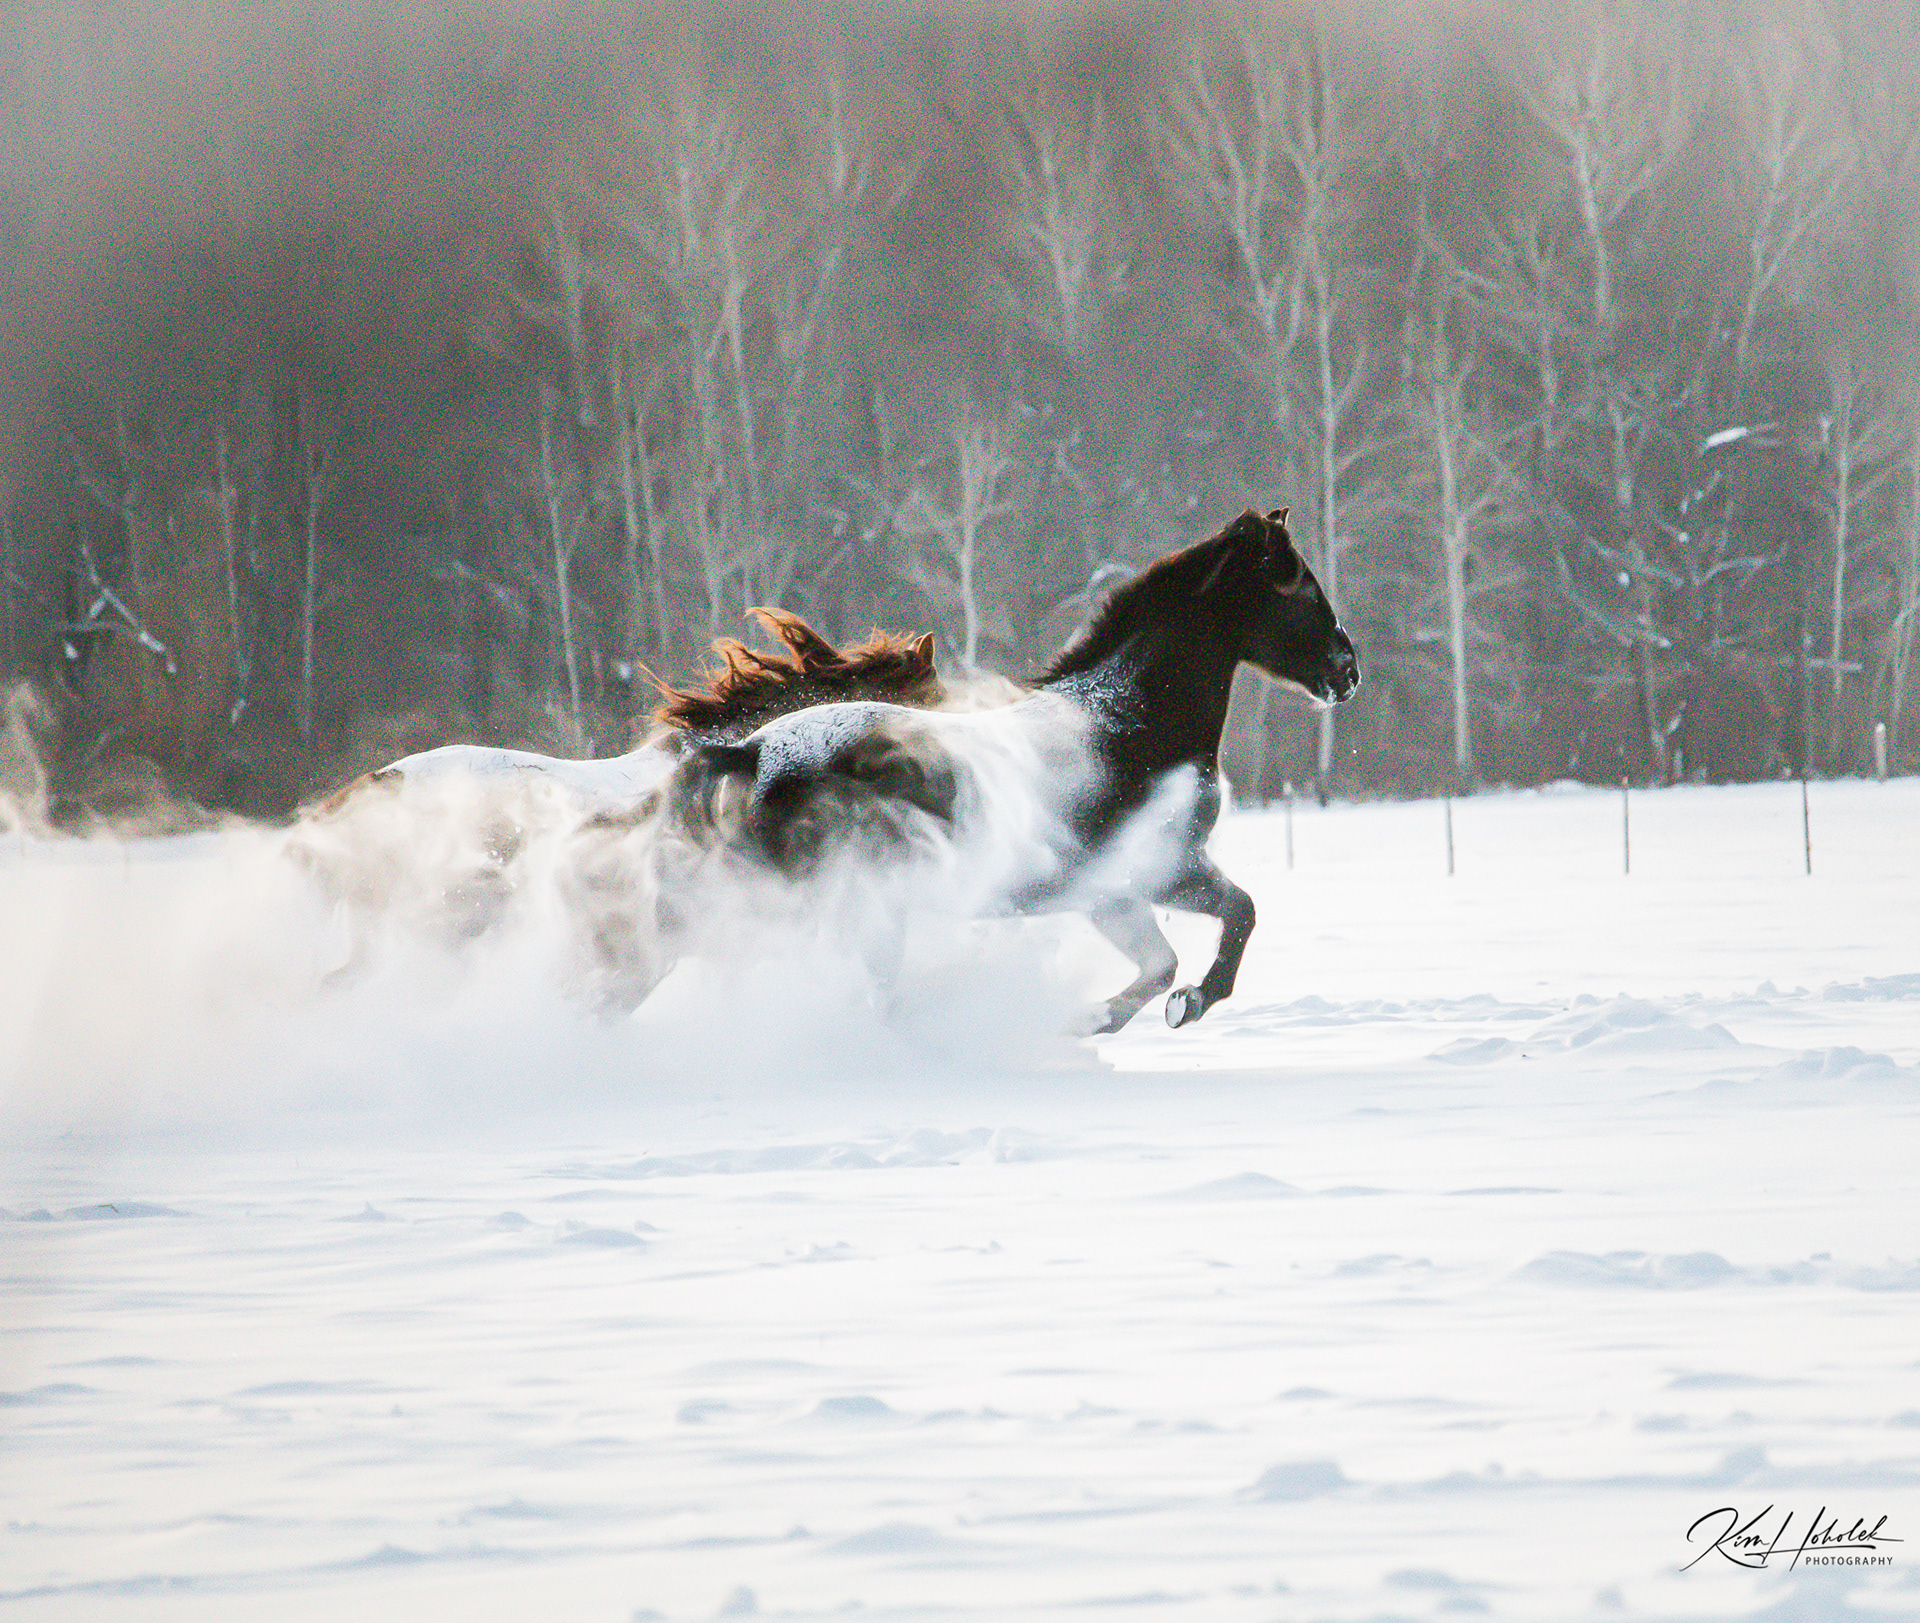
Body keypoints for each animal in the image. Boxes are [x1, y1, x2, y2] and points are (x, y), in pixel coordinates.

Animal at [657, 508, 1359, 1031]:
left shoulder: (1105, 892)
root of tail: (753, 752)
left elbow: (1159, 964)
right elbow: (1241, 913)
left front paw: (1090, 1020)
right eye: (1297, 581)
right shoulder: (1165, 866)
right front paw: (1187, 1004)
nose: (1347, 670)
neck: (1127, 722)